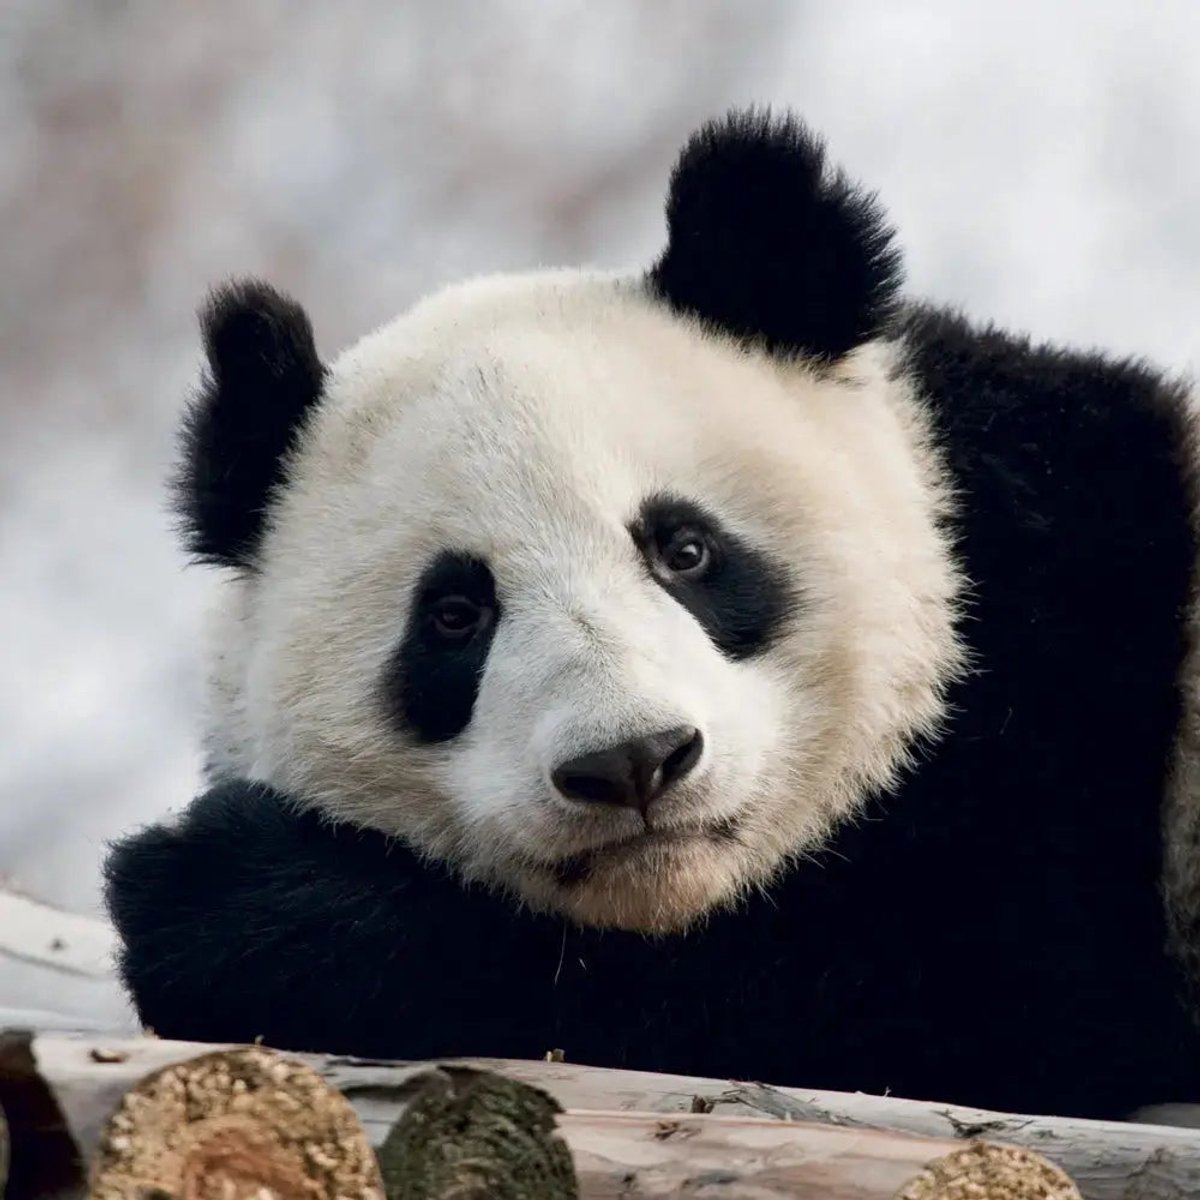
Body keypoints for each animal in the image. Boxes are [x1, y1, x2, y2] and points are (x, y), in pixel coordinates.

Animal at [104, 107, 1200, 1122]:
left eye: (686, 550)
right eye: (454, 616)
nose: (633, 762)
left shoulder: (1066, 697)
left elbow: (968, 987)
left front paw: (225, 896)